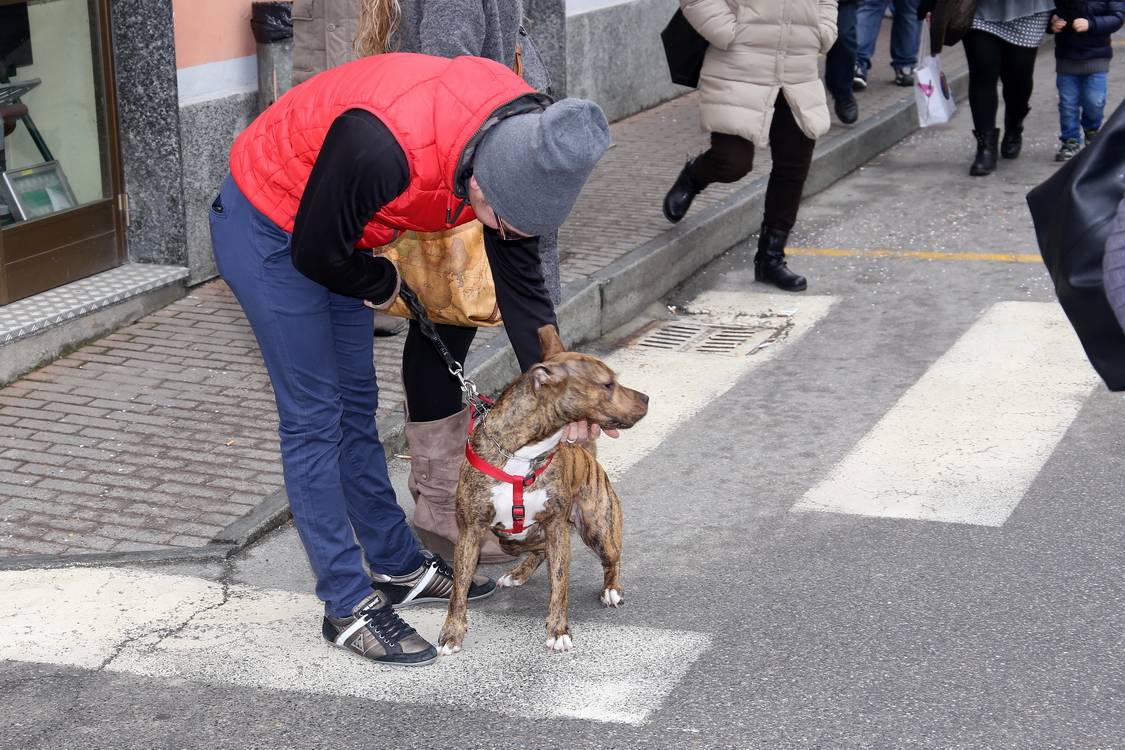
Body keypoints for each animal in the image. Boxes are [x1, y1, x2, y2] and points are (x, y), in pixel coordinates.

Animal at [438, 326, 652, 652]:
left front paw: (558, 630)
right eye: (608, 384)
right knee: (537, 549)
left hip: (598, 528)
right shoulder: (470, 532)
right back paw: (518, 572)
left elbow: (559, 585)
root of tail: (585, 452)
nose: (647, 398)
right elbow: (459, 589)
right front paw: (452, 632)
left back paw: (611, 589)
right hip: (509, 539)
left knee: (612, 559)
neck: (522, 453)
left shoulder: (557, 528)